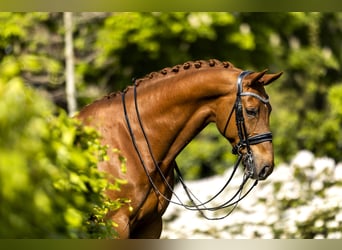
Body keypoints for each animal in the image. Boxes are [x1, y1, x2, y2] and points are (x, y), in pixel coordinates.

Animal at [77, 58, 284, 238]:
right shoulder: (115, 224)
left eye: (270, 110)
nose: (266, 166)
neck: (130, 141)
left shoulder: (150, 225)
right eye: (251, 111)